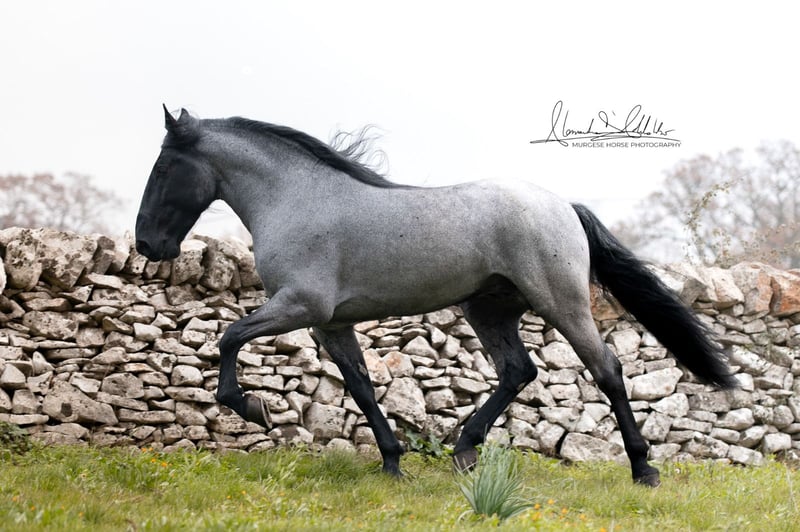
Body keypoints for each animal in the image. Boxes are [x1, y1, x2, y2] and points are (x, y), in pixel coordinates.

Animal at [135, 106, 736, 487]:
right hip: (488, 308)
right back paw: (464, 451)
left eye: (164, 167)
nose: (147, 244)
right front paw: (392, 463)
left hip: (560, 303)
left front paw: (253, 407)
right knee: (518, 370)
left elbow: (229, 338)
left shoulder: (300, 306)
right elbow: (360, 387)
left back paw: (644, 470)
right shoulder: (330, 323)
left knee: (606, 368)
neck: (296, 199)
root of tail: (562, 205)